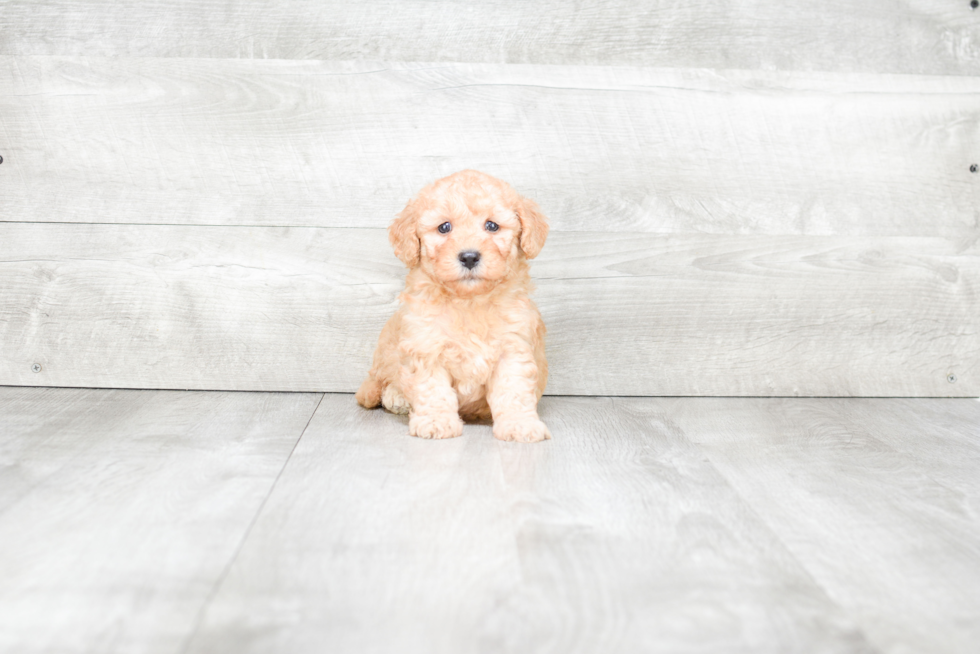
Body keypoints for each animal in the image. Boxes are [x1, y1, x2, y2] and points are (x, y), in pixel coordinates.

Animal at [356, 172, 552, 444]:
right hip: (388, 347)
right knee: (380, 380)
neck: (468, 301)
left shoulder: (513, 347)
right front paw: (436, 421)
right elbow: (432, 389)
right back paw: (397, 396)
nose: (469, 257)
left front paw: (519, 424)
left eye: (492, 226)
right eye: (444, 227)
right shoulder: (426, 345)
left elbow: (513, 390)